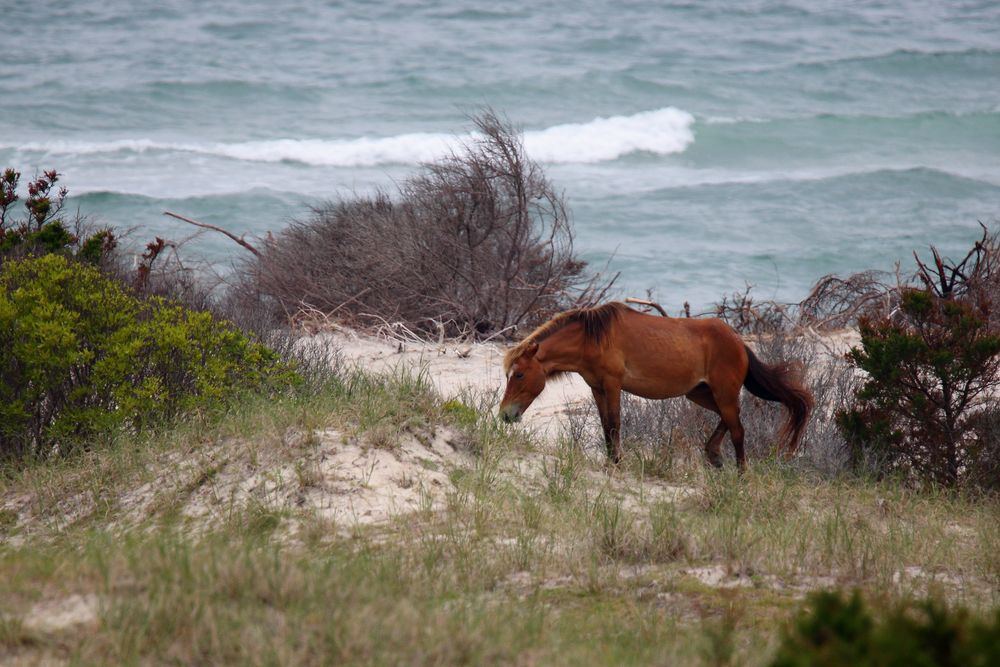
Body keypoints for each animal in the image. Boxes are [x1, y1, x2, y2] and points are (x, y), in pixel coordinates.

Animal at [498, 302, 813, 469]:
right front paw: (611, 461)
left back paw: (740, 475)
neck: (593, 338)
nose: (505, 415)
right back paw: (713, 455)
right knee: (730, 419)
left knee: (738, 430)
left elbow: (614, 424)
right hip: (699, 394)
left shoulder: (612, 384)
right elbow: (605, 426)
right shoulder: (597, 388)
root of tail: (739, 343)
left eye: (519, 375)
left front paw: (617, 463)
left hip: (722, 393)